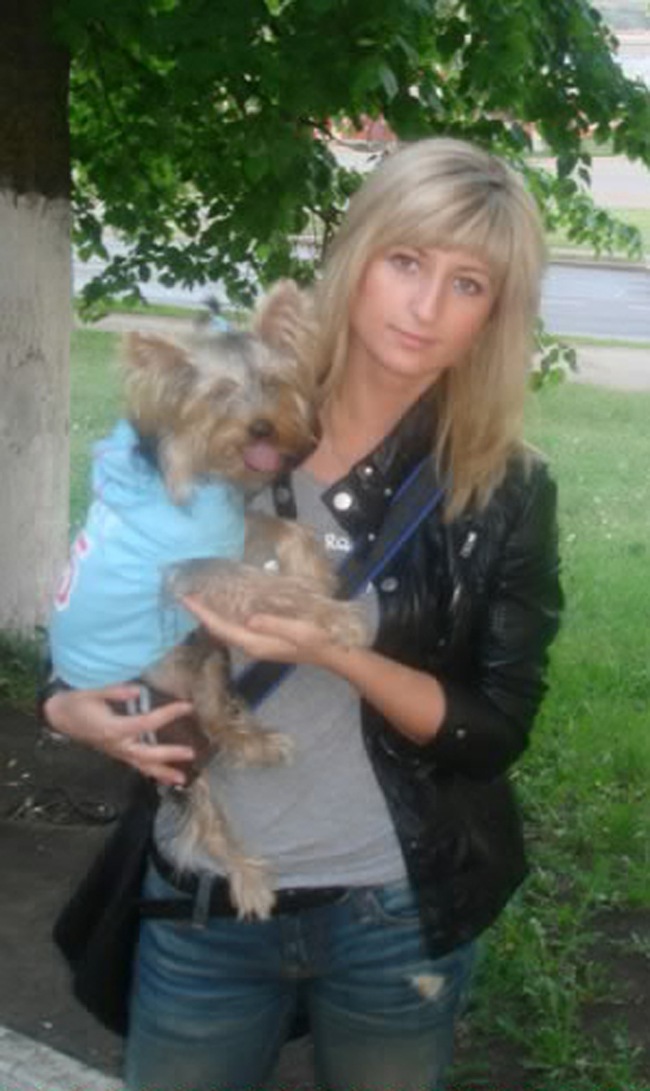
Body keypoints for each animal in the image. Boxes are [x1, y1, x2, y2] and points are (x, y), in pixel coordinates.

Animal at [49, 281, 365, 920]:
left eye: (271, 381)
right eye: (220, 396)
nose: (263, 428)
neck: (203, 473)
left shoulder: (228, 528)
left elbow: (287, 530)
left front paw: (316, 574)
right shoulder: (196, 569)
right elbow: (266, 587)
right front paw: (335, 617)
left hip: (207, 664)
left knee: (219, 720)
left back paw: (256, 743)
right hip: (157, 734)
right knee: (202, 816)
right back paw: (247, 877)